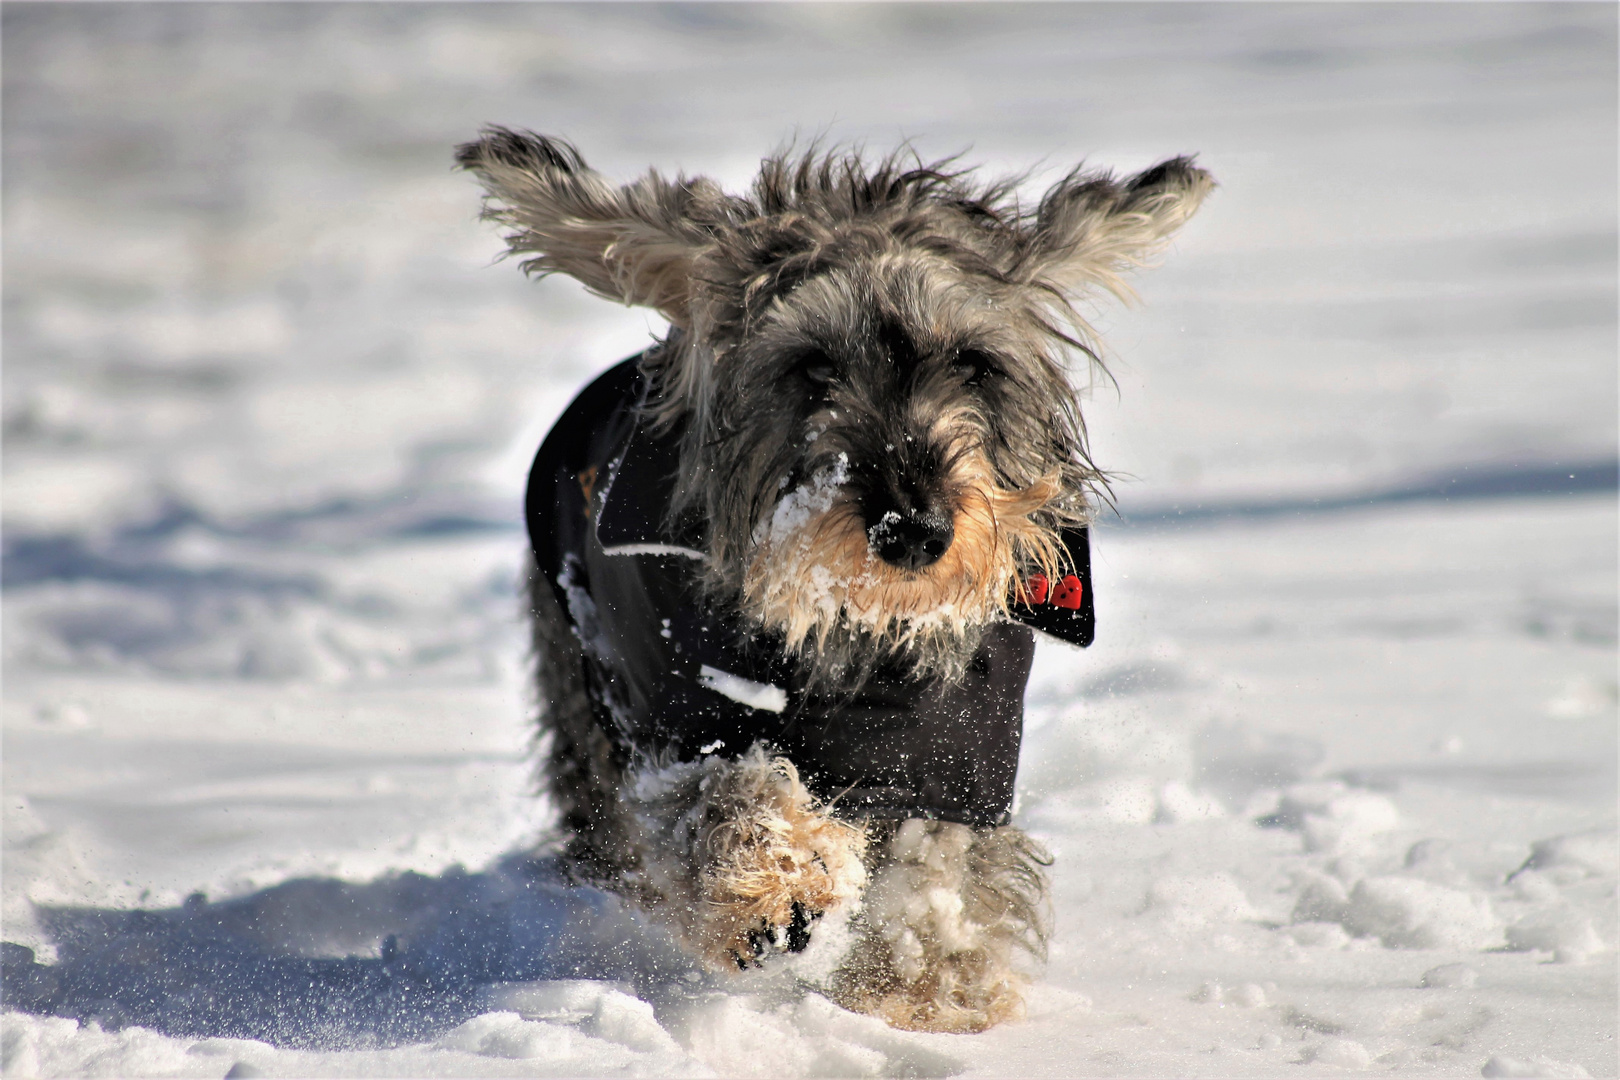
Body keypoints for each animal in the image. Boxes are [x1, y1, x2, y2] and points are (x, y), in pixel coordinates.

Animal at [453, 131, 1205, 1036]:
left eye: (975, 364)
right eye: (810, 366)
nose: (913, 528)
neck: (855, 628)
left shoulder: (959, 757)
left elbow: (937, 862)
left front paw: (924, 979)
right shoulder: (677, 721)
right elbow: (718, 792)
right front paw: (777, 875)